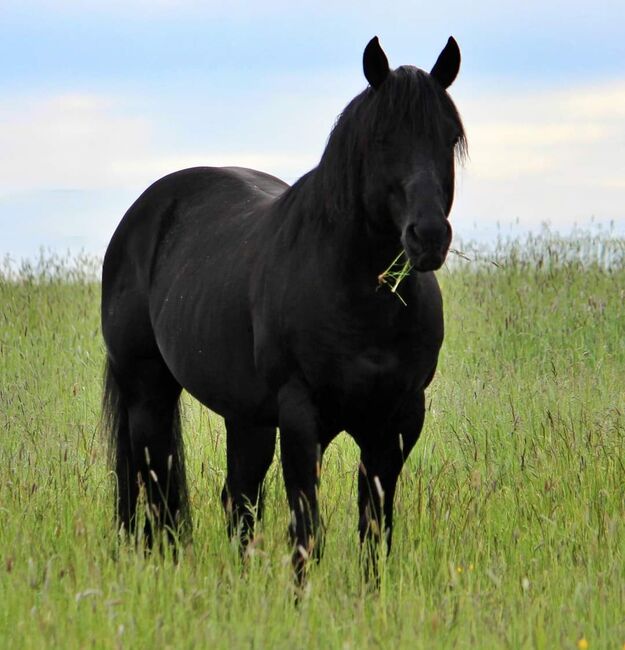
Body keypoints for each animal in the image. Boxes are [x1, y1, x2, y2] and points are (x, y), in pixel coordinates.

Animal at [101, 35, 464, 576]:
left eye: (449, 137)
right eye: (381, 139)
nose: (428, 237)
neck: (361, 304)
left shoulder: (396, 422)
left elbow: (374, 527)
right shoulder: (299, 416)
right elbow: (305, 526)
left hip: (245, 416)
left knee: (237, 500)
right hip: (148, 393)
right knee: (156, 492)